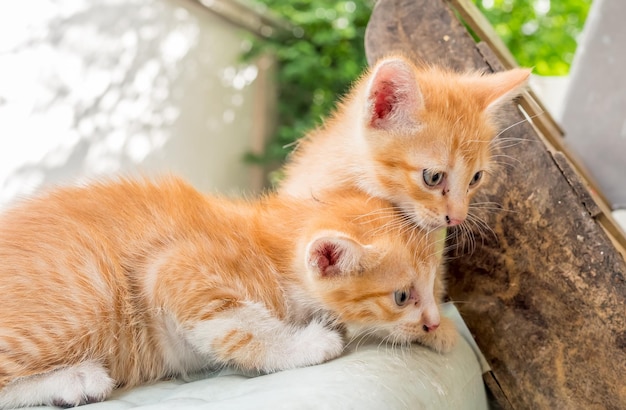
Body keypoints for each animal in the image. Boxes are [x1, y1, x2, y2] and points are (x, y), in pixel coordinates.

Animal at [0, 175, 450, 406]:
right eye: (401, 297)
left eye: (434, 287)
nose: (431, 322)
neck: (267, 250)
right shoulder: (172, 267)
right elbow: (242, 325)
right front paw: (305, 344)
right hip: (86, 295)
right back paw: (75, 380)